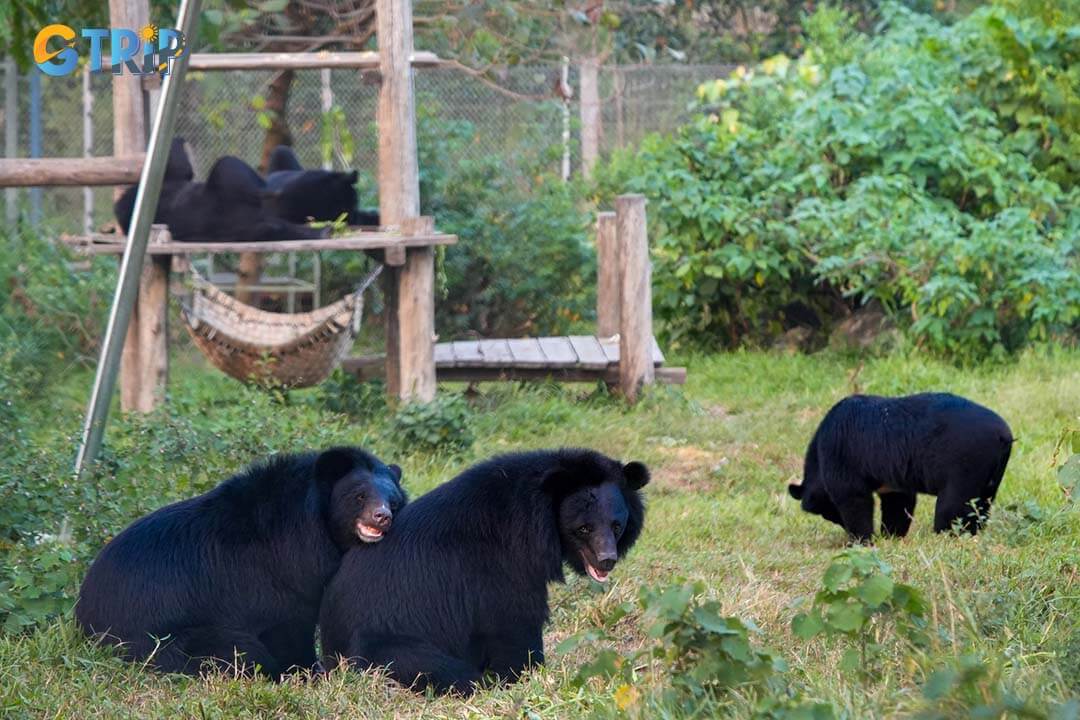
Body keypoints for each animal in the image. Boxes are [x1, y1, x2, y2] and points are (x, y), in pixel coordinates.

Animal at [75, 446, 406, 677]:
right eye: (359, 496)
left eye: (393, 501)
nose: (382, 517)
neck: (316, 527)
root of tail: (85, 620)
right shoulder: (284, 575)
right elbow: (288, 625)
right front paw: (309, 671)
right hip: (166, 639)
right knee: (239, 649)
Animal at [315, 446, 643, 695]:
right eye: (584, 528)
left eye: (616, 525)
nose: (606, 560)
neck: (536, 523)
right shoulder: (503, 567)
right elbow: (514, 621)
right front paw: (525, 674)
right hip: (384, 642)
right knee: (432, 667)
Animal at [786, 395, 1010, 539]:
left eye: (827, 513)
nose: (840, 525)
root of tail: (1003, 434)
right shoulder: (892, 477)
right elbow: (898, 501)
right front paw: (891, 536)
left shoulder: (842, 455)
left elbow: (853, 497)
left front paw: (861, 539)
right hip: (991, 472)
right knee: (981, 504)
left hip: (964, 464)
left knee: (951, 507)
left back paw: (947, 535)